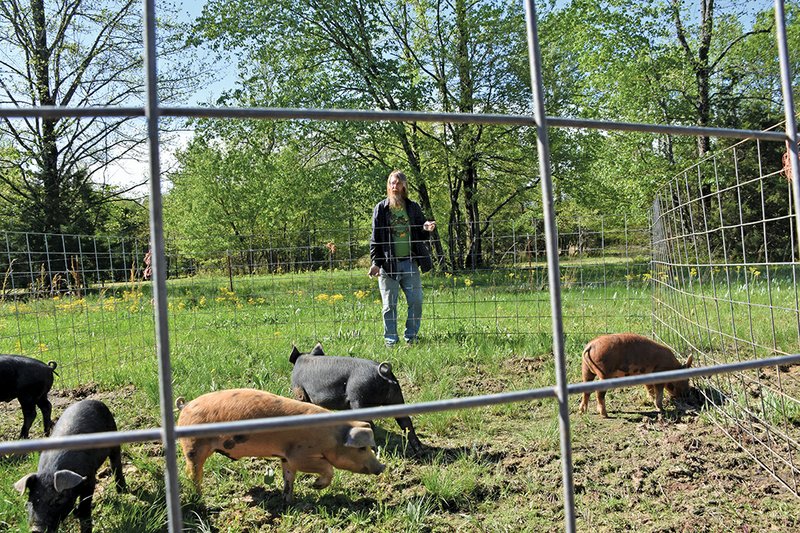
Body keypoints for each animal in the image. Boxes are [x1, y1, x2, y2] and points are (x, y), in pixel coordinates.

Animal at [13, 400, 126, 532]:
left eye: (57, 500)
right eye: (31, 500)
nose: (37, 529)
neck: (50, 471)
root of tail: (94, 401)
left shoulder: (89, 478)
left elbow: (85, 504)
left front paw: (81, 515)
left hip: (113, 435)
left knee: (116, 462)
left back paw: (122, 491)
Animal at [176, 388, 388, 500]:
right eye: (361, 448)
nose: (382, 467)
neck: (332, 436)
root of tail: (185, 406)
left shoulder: (285, 457)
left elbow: (288, 477)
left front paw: (287, 499)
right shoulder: (300, 456)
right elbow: (328, 469)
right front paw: (315, 487)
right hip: (193, 446)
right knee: (192, 472)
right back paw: (199, 496)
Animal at [290, 342, 424, 450]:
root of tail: (384, 372)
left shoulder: (299, 390)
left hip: (358, 397)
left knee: (370, 424)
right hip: (396, 396)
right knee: (406, 422)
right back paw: (420, 451)